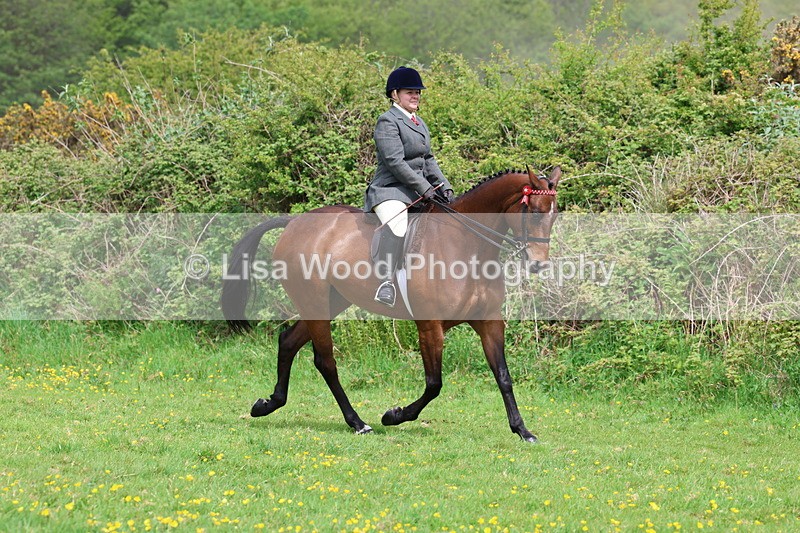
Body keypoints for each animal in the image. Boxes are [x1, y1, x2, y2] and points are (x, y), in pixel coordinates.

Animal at [221, 166, 561, 442]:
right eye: (533, 212)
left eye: (555, 214)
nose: (539, 264)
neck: (467, 246)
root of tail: (296, 223)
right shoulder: (430, 325)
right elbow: (434, 384)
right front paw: (394, 415)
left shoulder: (489, 321)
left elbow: (503, 376)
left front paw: (523, 430)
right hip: (314, 301)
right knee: (325, 361)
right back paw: (358, 423)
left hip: (330, 302)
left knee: (288, 341)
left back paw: (268, 404)